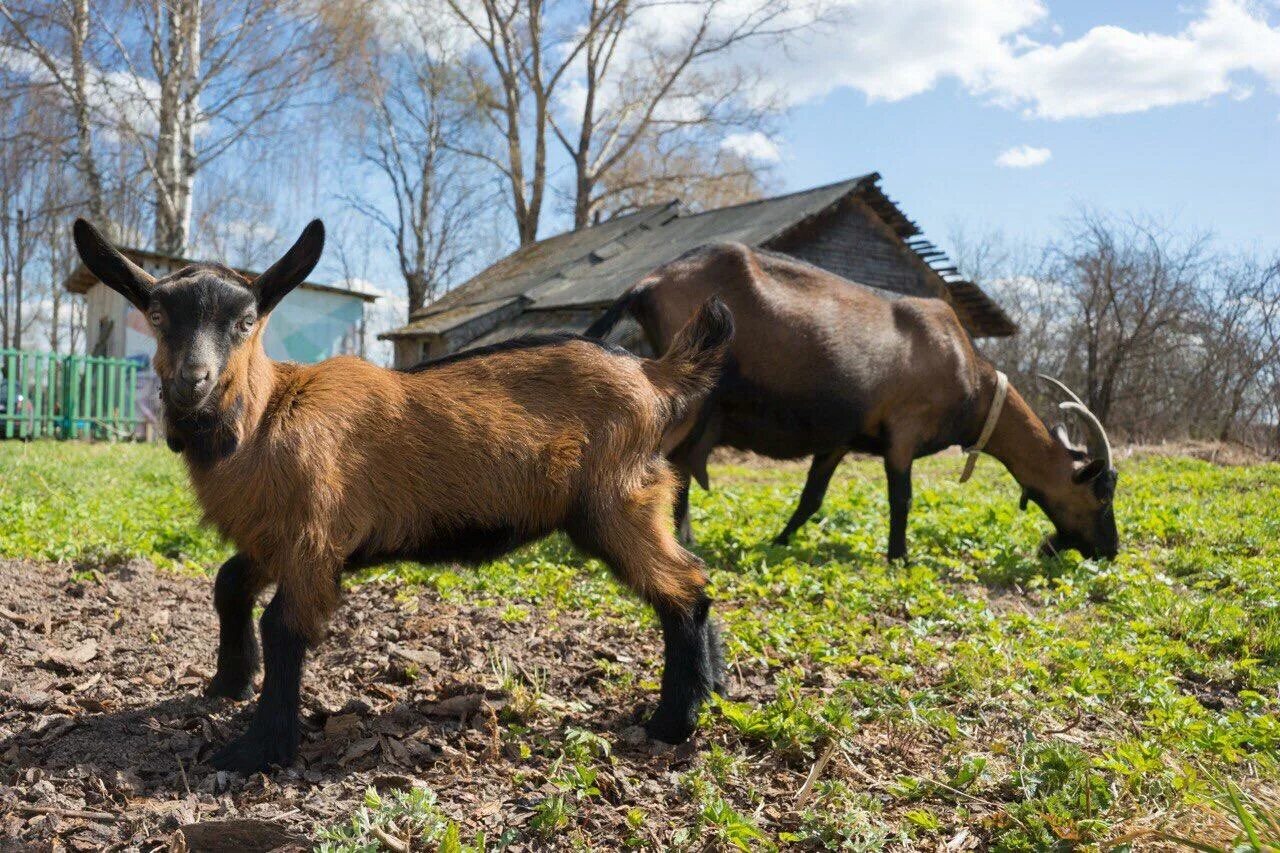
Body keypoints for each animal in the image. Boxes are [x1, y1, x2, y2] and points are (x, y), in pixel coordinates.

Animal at [72, 217, 732, 768]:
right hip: (643, 499)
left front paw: (257, 749)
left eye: (244, 322)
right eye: (157, 316)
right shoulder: (270, 536)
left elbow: (284, 626)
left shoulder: (314, 536)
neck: (264, 418)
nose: (193, 382)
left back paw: (672, 722)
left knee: (684, 589)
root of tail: (652, 377)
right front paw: (228, 684)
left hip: (615, 501)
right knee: (695, 570)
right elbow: (228, 584)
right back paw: (716, 684)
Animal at [588, 240, 1121, 558]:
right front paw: (898, 557)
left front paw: (779, 541)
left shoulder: (840, 439)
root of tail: (648, 283)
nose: (1110, 550)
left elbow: (812, 498)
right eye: (1101, 492)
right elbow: (902, 498)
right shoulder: (904, 432)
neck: (971, 374)